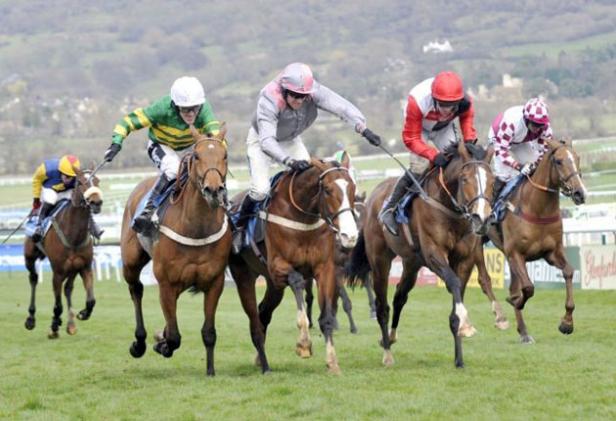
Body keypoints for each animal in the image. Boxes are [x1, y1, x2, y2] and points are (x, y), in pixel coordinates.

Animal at [23, 167, 103, 338]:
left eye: (97, 180)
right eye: (81, 182)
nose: (97, 202)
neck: (74, 234)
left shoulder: (85, 267)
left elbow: (91, 300)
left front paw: (83, 313)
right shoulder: (58, 271)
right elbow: (57, 304)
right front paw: (54, 326)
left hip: (73, 268)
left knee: (68, 288)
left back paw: (70, 324)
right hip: (29, 257)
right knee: (33, 278)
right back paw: (31, 318)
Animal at [121, 126, 232, 376]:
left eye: (225, 156)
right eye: (197, 156)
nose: (213, 190)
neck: (196, 228)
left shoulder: (214, 282)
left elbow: (208, 333)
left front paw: (210, 371)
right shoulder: (166, 284)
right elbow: (173, 337)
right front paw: (162, 343)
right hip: (130, 262)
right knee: (136, 290)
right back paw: (139, 342)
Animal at [229, 158, 358, 374]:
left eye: (353, 188)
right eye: (328, 190)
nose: (350, 236)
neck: (303, 217)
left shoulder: (324, 269)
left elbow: (326, 318)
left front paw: (332, 362)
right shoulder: (278, 266)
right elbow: (297, 283)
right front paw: (304, 343)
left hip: (274, 285)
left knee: (264, 312)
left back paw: (259, 358)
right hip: (244, 275)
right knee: (255, 319)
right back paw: (265, 365)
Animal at [346, 139, 496, 366]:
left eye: (493, 180)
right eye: (464, 179)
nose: (482, 219)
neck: (449, 208)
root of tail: (373, 197)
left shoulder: (465, 259)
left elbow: (456, 297)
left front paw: (459, 356)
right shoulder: (434, 254)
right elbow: (452, 282)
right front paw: (466, 324)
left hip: (412, 263)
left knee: (400, 296)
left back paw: (391, 337)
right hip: (380, 260)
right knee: (382, 306)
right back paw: (387, 352)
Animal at [486, 138, 588, 342]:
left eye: (577, 158)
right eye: (558, 161)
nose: (580, 193)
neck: (537, 208)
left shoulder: (551, 252)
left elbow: (569, 272)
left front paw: (567, 323)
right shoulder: (516, 253)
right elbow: (528, 288)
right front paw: (516, 301)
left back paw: (524, 332)